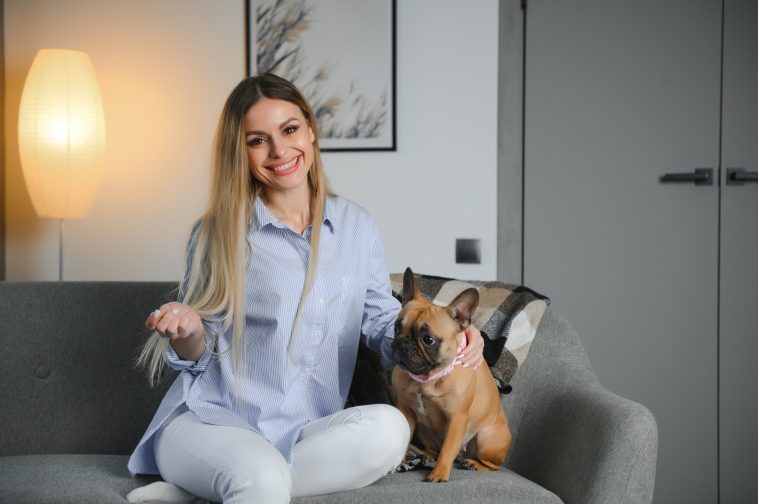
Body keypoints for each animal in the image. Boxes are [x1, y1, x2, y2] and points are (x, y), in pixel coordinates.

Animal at [392, 266, 510, 482]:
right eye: (397, 327)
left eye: (428, 339)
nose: (403, 345)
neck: (427, 379)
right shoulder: (406, 410)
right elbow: (404, 438)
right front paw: (399, 463)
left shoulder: (456, 419)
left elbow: (448, 448)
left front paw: (439, 474)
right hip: (425, 431)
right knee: (435, 449)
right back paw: (425, 455)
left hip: (485, 440)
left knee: (492, 466)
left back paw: (473, 464)